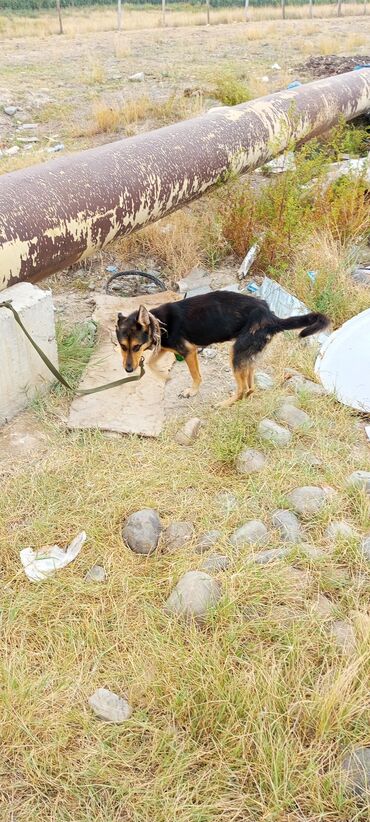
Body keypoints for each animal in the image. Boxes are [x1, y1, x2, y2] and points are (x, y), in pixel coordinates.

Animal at [115, 292, 330, 410]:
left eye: (136, 347)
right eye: (123, 347)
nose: (128, 370)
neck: (158, 323)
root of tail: (272, 318)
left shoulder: (189, 351)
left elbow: (196, 376)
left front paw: (191, 391)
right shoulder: (166, 349)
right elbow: (151, 363)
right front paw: (163, 376)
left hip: (236, 354)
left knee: (242, 388)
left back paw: (225, 404)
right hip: (247, 356)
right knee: (250, 387)